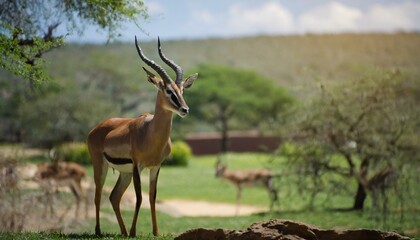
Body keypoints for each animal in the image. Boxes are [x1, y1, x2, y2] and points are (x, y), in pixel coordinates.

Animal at [87, 36, 199, 237]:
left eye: (182, 90)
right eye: (168, 91)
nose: (185, 109)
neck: (150, 134)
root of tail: (97, 128)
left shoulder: (155, 167)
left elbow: (152, 197)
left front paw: (156, 232)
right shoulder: (138, 166)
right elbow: (139, 197)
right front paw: (134, 232)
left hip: (124, 173)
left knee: (114, 196)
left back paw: (123, 232)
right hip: (100, 165)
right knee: (98, 195)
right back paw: (100, 231)